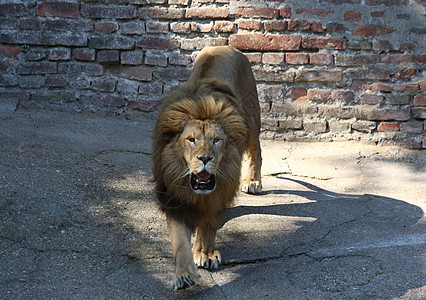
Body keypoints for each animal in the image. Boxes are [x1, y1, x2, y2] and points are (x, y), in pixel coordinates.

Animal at [151, 46, 262, 290]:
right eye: (191, 140)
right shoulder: (173, 195)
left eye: (216, 140)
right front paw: (184, 274)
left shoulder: (219, 191)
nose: (204, 158)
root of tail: (226, 45)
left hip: (251, 117)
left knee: (256, 149)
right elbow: (179, 241)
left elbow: (209, 224)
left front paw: (205, 253)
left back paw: (253, 181)